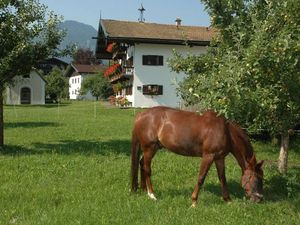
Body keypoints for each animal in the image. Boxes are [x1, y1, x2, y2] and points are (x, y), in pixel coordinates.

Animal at [131, 106, 262, 207]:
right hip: (149, 148)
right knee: (147, 168)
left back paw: (144, 190)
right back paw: (152, 195)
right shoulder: (208, 156)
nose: (259, 199)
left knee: (141, 164)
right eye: (257, 178)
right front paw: (194, 202)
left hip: (153, 149)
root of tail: (141, 115)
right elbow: (201, 178)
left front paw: (228, 200)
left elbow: (222, 178)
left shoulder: (219, 158)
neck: (225, 131)